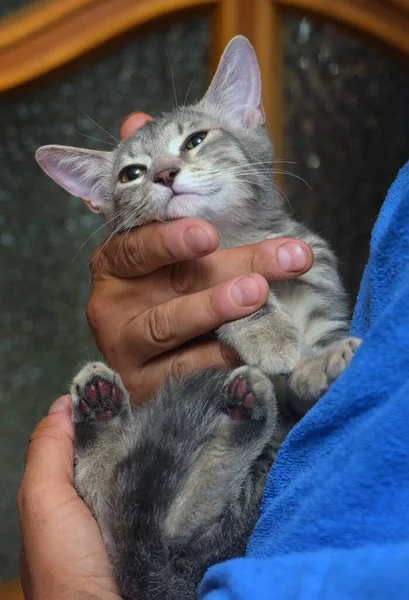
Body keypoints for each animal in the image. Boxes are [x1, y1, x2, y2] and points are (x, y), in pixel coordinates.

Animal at [35, 37, 360, 600]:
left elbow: (310, 366)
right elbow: (237, 297)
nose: (165, 173)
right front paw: (268, 328)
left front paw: (324, 359)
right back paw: (108, 415)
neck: (236, 239)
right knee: (150, 517)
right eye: (131, 173)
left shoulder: (316, 275)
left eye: (195, 140)